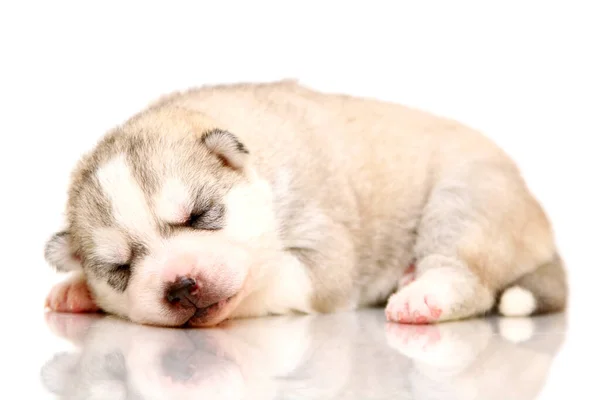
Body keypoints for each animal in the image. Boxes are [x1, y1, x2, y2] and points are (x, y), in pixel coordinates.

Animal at [42, 79, 568, 326]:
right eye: (120, 268)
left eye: (201, 215)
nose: (182, 285)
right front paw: (78, 289)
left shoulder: (321, 255)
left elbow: (266, 278)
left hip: (465, 199)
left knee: (468, 277)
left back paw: (423, 295)